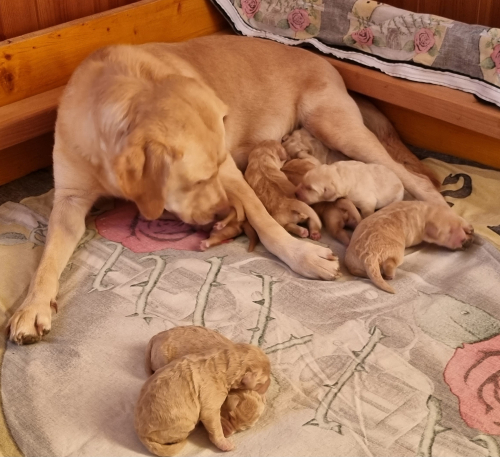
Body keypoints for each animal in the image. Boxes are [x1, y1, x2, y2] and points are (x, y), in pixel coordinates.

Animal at [6, 35, 446, 342]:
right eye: (198, 180)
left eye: (214, 171)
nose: (223, 218)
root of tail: (327, 63)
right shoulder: (68, 200)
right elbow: (48, 259)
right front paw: (32, 306)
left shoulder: (235, 176)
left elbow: (265, 220)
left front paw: (301, 255)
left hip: (337, 127)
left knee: (412, 176)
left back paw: (442, 211)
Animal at [346, 201, 474, 294]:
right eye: (461, 239)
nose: (468, 242)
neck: (428, 211)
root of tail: (369, 256)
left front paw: (470, 228)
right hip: (396, 252)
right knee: (390, 264)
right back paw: (390, 275)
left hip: (353, 261)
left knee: (355, 270)